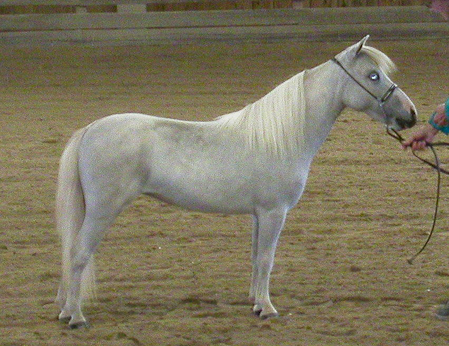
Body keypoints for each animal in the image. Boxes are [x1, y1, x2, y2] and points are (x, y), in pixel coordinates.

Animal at [55, 36, 416, 328]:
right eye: (373, 75)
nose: (410, 115)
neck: (283, 137)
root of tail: (90, 129)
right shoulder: (273, 213)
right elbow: (267, 260)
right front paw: (268, 309)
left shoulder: (259, 215)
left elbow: (256, 258)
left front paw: (256, 304)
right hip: (102, 210)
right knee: (79, 253)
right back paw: (76, 317)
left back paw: (65, 310)